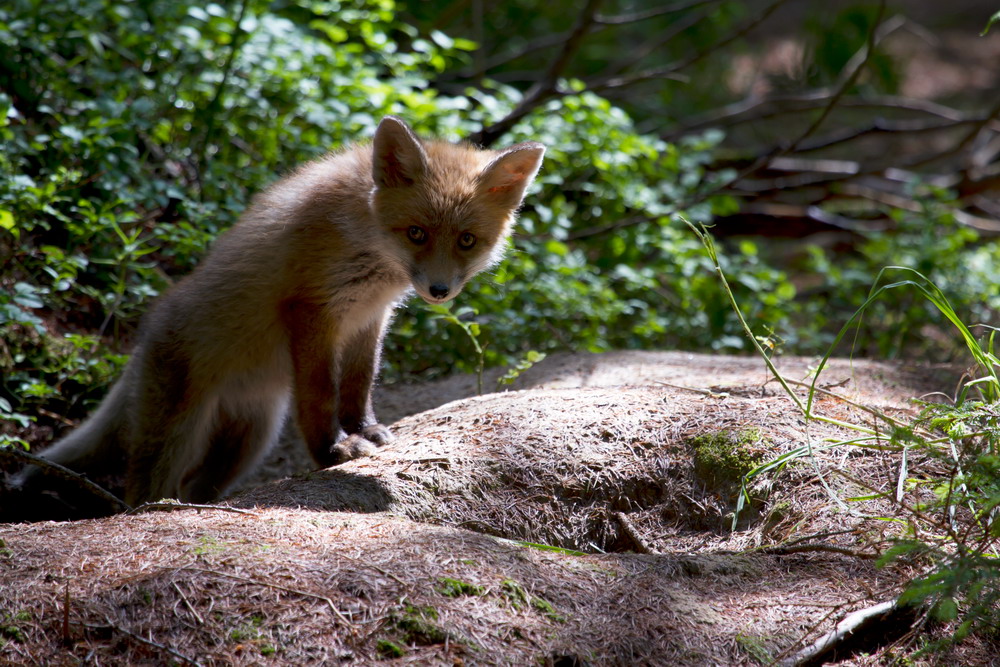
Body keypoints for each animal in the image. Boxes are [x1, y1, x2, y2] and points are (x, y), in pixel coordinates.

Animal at [13, 117, 548, 508]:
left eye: (466, 241)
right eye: (417, 233)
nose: (438, 290)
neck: (368, 242)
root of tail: (144, 338)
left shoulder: (369, 317)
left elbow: (359, 383)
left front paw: (363, 430)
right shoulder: (311, 309)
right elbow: (320, 393)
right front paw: (333, 450)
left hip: (248, 443)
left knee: (194, 487)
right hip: (177, 435)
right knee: (143, 489)